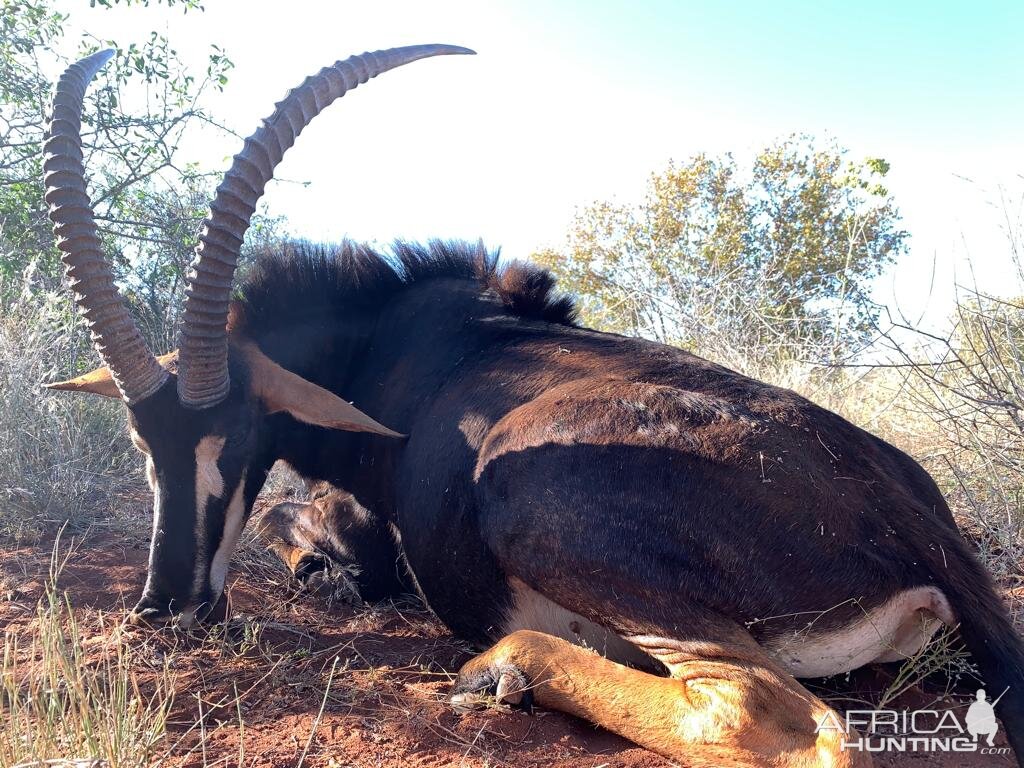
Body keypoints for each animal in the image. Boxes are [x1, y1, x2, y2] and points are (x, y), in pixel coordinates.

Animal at [41, 49, 1024, 768]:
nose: (167, 606)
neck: (394, 341)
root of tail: (916, 522)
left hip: (523, 487)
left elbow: (300, 523)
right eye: (141, 440)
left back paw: (499, 671)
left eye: (239, 433)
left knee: (771, 717)